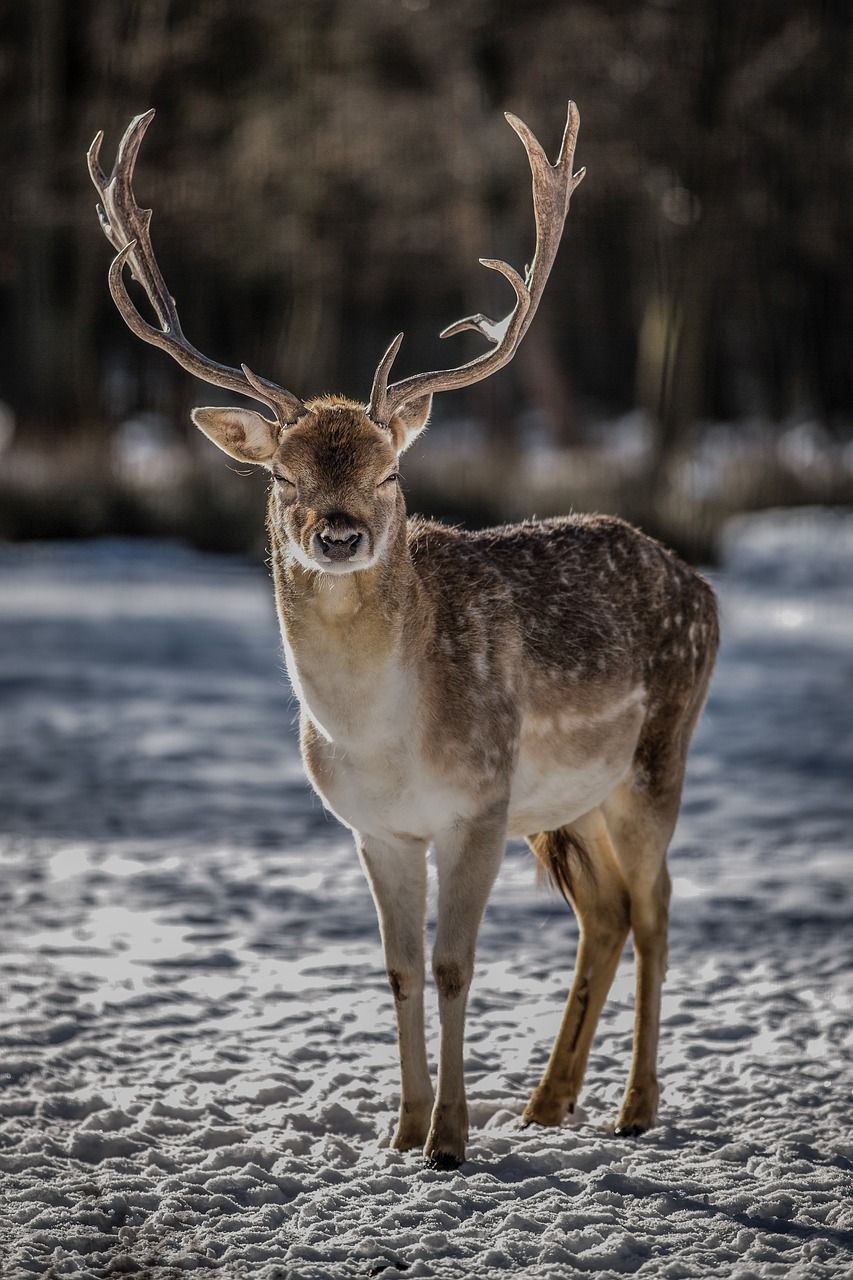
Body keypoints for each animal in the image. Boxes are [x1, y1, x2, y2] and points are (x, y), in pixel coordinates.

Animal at [89, 102, 717, 1172]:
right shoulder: (374, 828)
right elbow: (397, 968)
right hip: (567, 802)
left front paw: (451, 1141)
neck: (382, 739)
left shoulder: (476, 804)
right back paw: (546, 1104)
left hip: (652, 760)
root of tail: (702, 585)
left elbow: (455, 964)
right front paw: (402, 1129)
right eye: (283, 476)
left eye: (388, 471)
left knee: (658, 909)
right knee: (605, 913)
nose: (339, 531)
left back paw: (634, 1109)